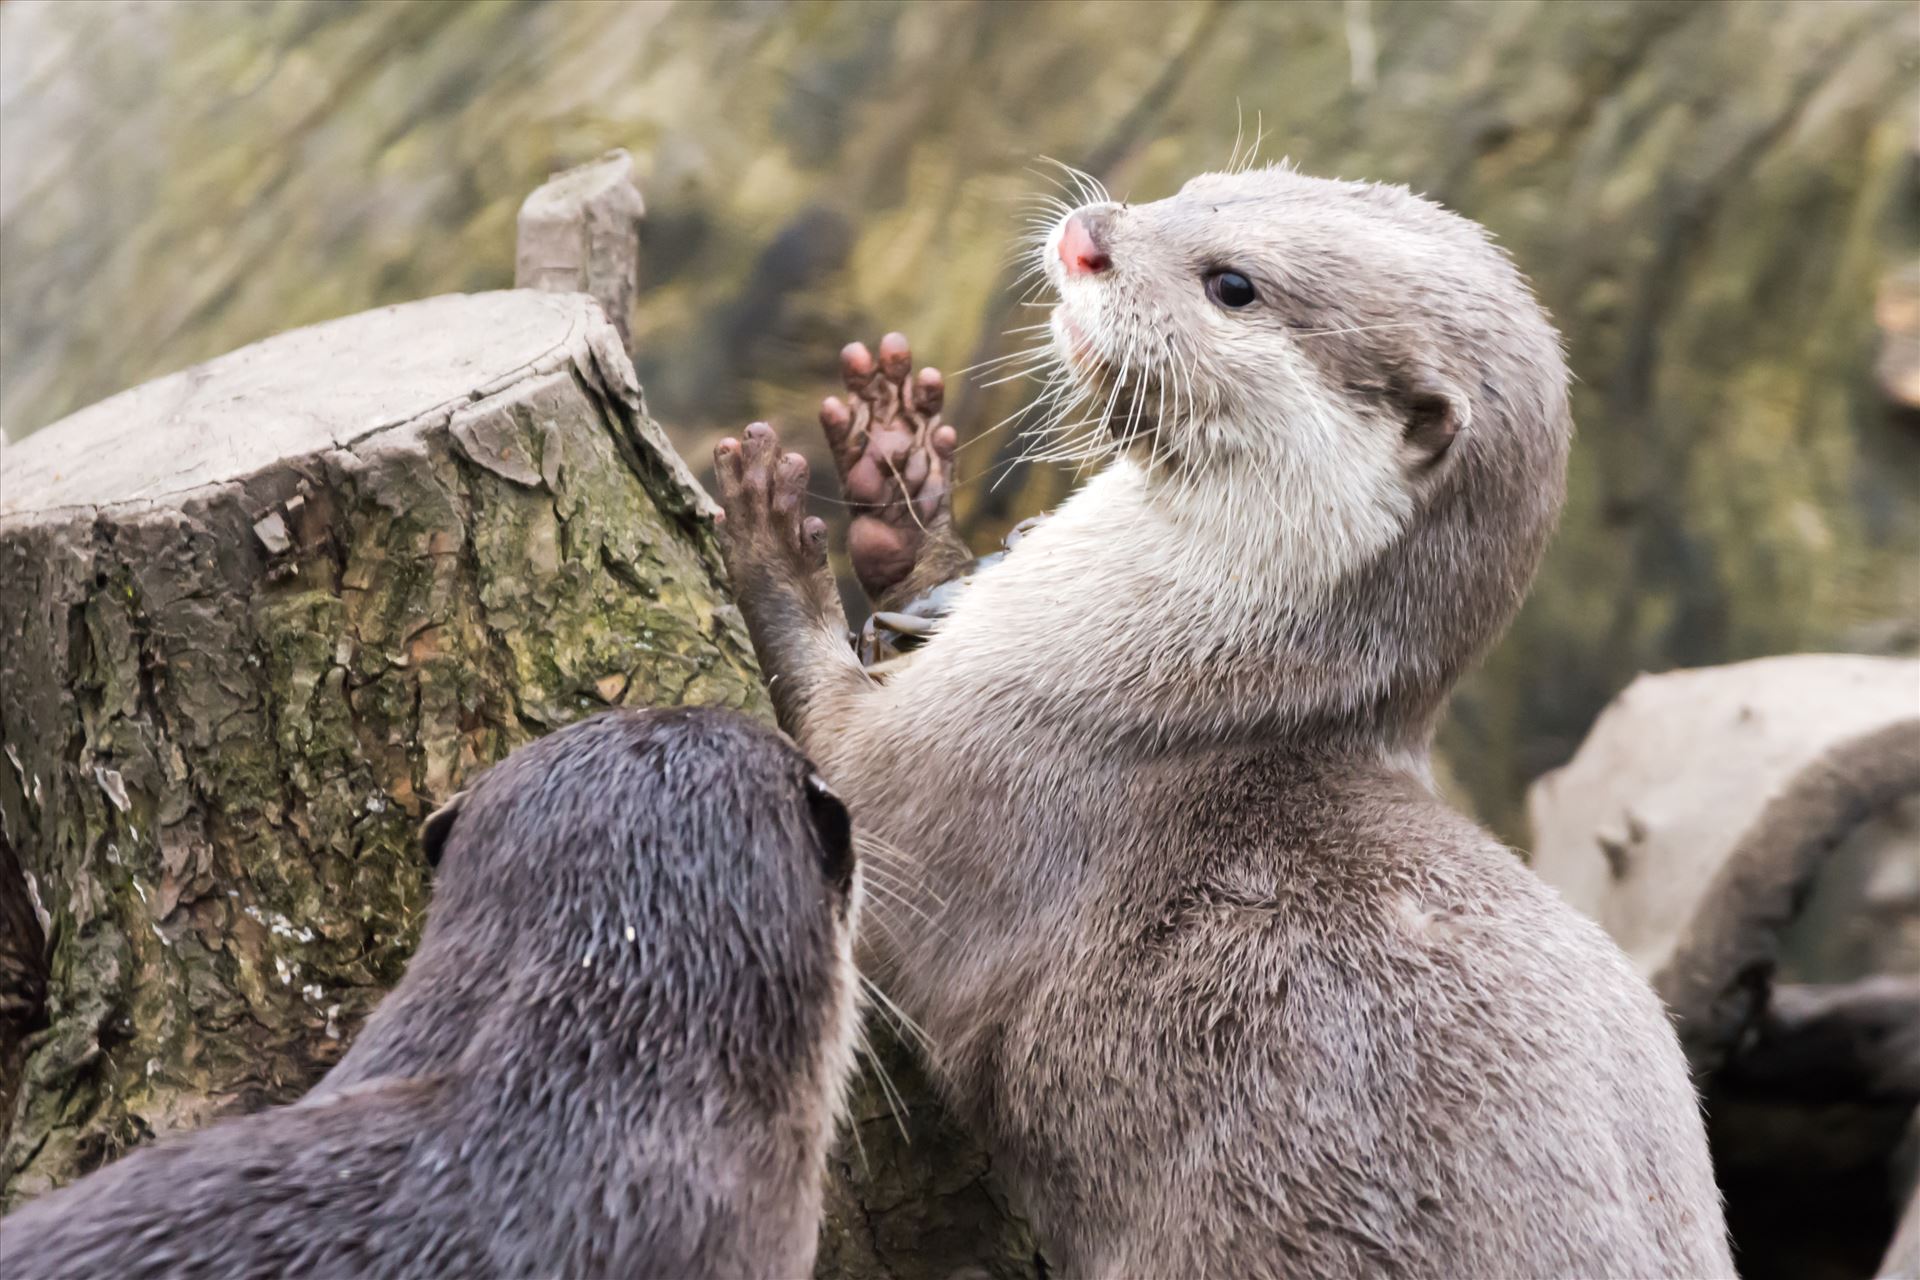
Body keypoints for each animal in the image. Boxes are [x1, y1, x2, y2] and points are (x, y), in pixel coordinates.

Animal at [718, 165, 1743, 1274]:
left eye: (1233, 285)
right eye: (1201, 185)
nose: (1088, 236)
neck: (1186, 670)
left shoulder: (991, 753)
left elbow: (841, 756)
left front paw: (775, 538)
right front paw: (896, 476)